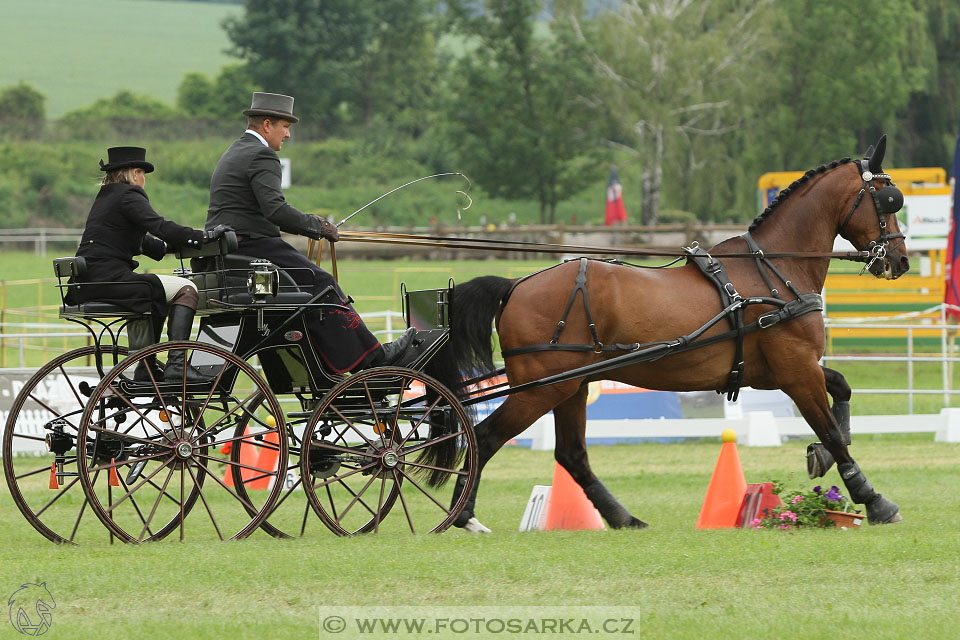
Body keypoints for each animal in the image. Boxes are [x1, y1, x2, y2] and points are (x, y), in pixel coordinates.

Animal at [436, 135, 908, 528]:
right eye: (888, 200)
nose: (900, 261)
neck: (775, 269)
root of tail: (516, 285)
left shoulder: (782, 371)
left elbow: (841, 390)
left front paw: (822, 459)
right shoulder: (796, 370)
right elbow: (831, 430)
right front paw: (873, 499)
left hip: (570, 387)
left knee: (571, 454)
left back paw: (623, 518)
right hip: (541, 389)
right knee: (484, 437)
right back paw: (463, 515)